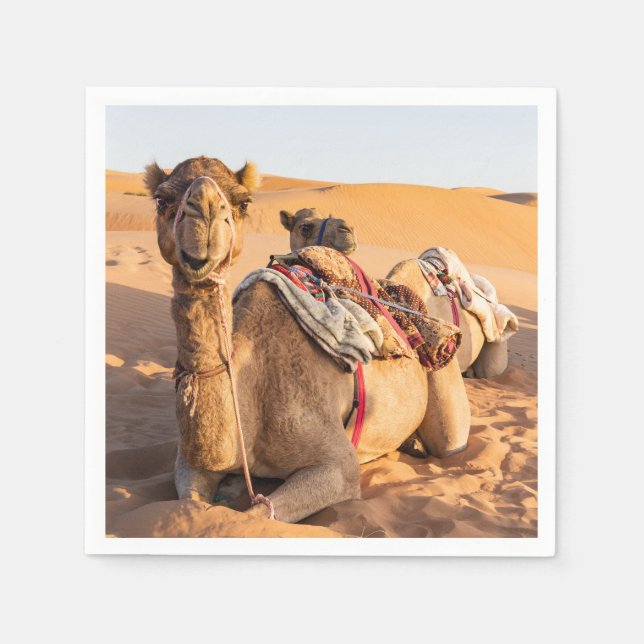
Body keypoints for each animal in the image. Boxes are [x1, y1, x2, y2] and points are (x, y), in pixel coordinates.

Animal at [144, 156, 471, 523]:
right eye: (161, 200)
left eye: (243, 202)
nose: (205, 214)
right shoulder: (189, 463)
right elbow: (192, 504)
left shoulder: (338, 465)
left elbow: (254, 516)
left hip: (445, 389)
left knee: (449, 440)